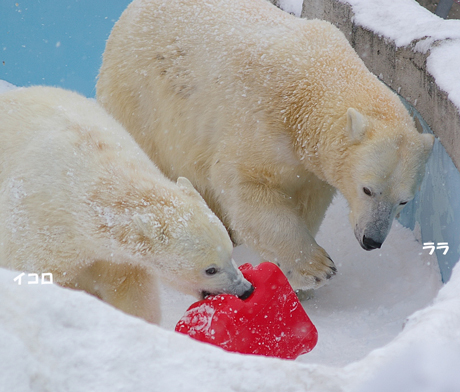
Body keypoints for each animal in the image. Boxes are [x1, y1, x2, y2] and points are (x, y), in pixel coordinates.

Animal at [0, 86, 252, 324]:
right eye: (210, 269)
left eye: (230, 252)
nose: (246, 290)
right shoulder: (41, 229)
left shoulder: (118, 254)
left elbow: (130, 287)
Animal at [95, 0, 434, 290]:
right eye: (367, 189)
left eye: (404, 201)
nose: (371, 240)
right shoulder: (259, 116)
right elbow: (246, 187)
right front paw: (315, 268)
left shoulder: (312, 167)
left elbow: (308, 199)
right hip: (141, 99)